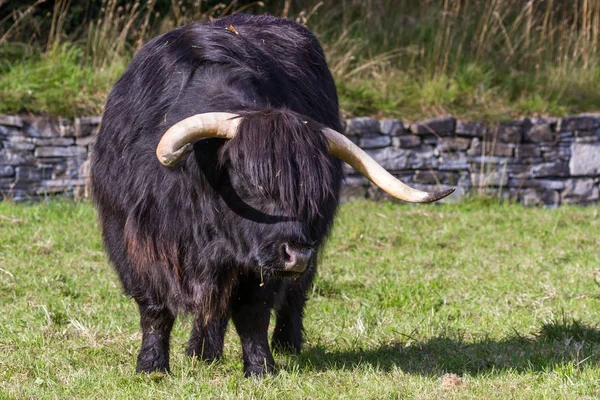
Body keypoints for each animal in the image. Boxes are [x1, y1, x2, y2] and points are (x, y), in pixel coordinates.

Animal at [91, 13, 452, 376]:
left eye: (311, 193)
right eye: (251, 183)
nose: (297, 255)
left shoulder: (261, 263)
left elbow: (253, 312)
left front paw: (260, 368)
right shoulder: (134, 239)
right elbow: (155, 309)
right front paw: (151, 366)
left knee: (292, 294)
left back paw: (284, 343)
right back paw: (202, 352)